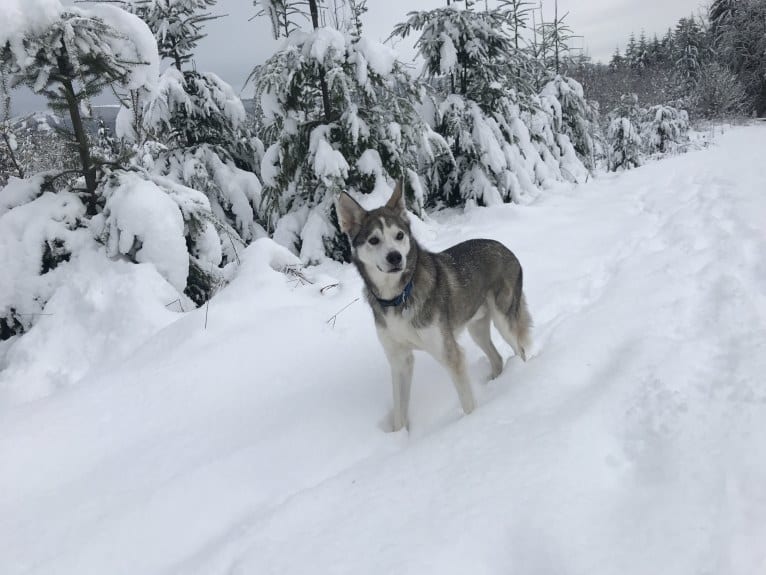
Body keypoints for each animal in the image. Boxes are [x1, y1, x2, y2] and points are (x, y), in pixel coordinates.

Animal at [340, 182, 532, 430]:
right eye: (373, 240)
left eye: (399, 235)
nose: (395, 257)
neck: (399, 297)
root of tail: (506, 249)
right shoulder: (399, 360)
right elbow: (399, 414)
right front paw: (399, 437)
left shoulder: (450, 354)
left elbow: (467, 403)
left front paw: (472, 424)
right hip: (476, 327)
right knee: (497, 358)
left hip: (503, 319)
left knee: (520, 350)